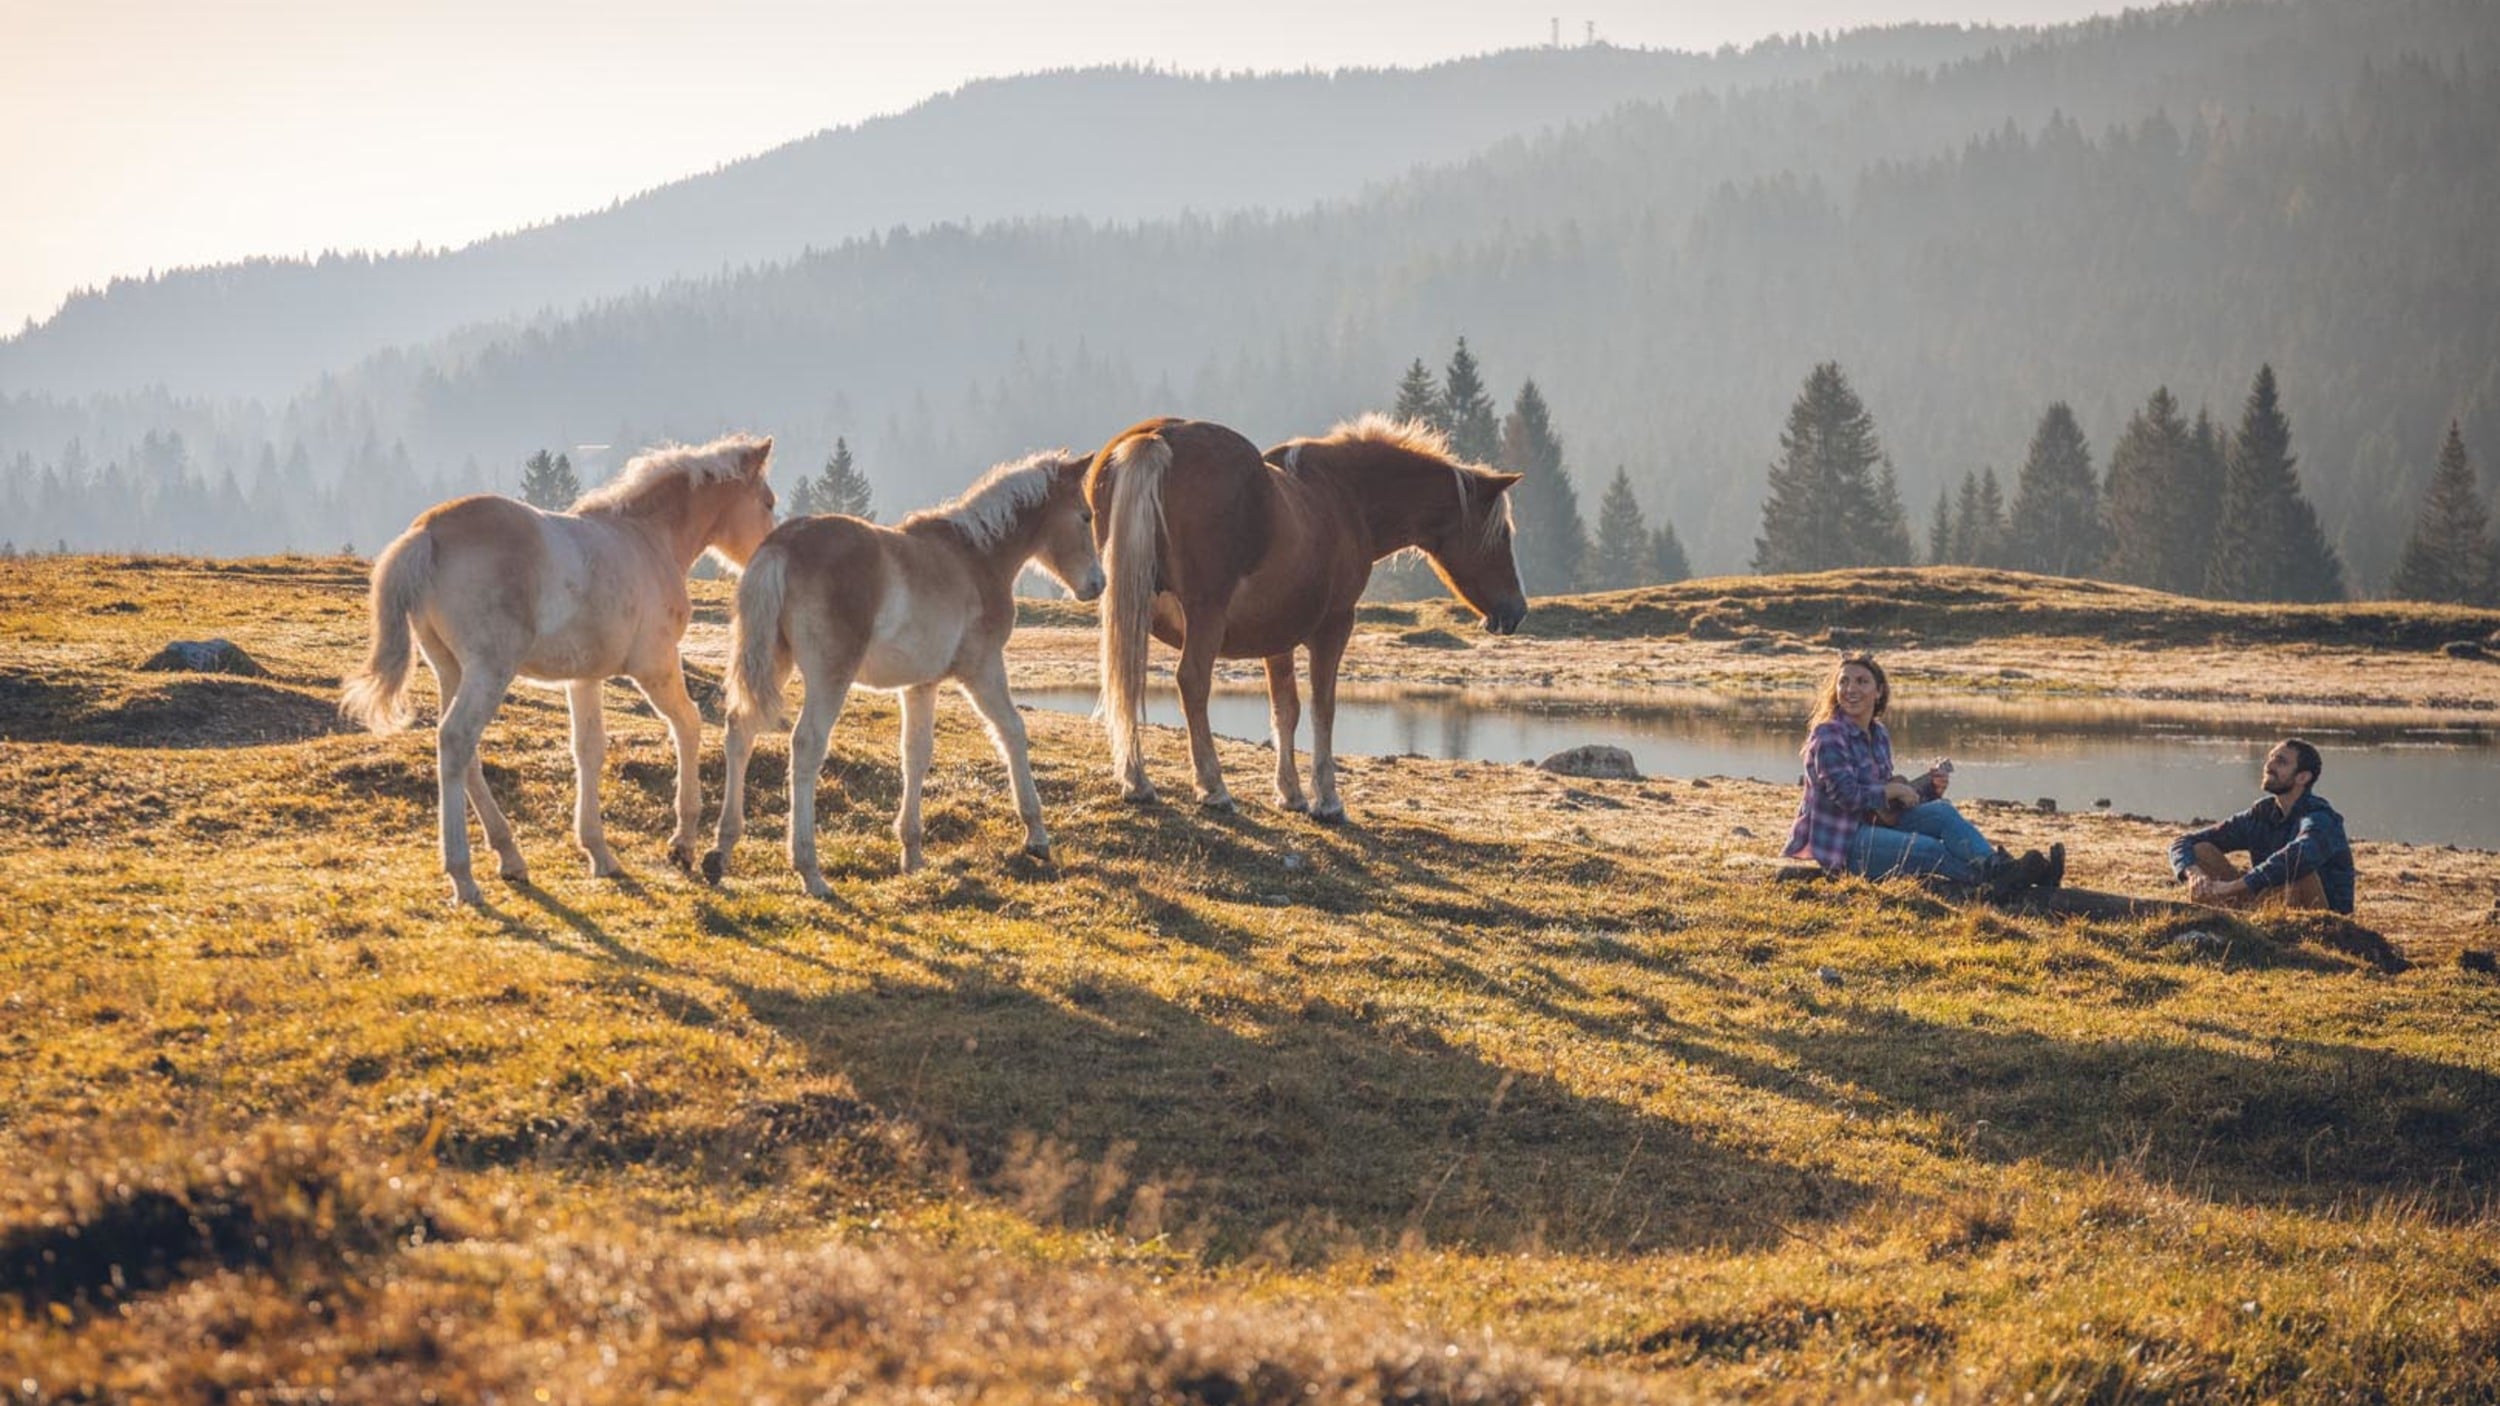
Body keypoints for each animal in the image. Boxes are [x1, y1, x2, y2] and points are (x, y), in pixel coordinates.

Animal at [337, 432, 775, 900]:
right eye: (767, 502)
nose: (764, 554)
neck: (647, 538)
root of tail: (427, 532)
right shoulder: (655, 665)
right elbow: (688, 726)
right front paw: (684, 843)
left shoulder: (583, 678)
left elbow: (588, 749)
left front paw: (599, 851)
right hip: (489, 670)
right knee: (456, 739)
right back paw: (463, 876)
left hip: (450, 670)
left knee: (461, 750)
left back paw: (509, 856)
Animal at [700, 447, 1100, 890]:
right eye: (1086, 516)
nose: (1097, 584)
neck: (976, 556)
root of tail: (781, 545)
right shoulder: (982, 670)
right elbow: (1012, 732)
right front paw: (1037, 837)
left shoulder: (920, 685)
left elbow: (915, 754)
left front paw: (912, 853)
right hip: (829, 677)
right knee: (806, 745)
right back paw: (809, 869)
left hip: (774, 662)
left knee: (740, 731)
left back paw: (720, 851)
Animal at [1090, 410, 1520, 815]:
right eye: (1502, 534)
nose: (1515, 611)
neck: (1345, 496)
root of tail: (1157, 437)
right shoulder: (1336, 624)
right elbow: (1322, 706)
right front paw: (1327, 799)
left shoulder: (1275, 635)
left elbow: (1286, 708)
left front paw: (1291, 793)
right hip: (1205, 615)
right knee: (1192, 681)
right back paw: (1213, 788)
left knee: (1128, 677)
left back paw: (1137, 781)